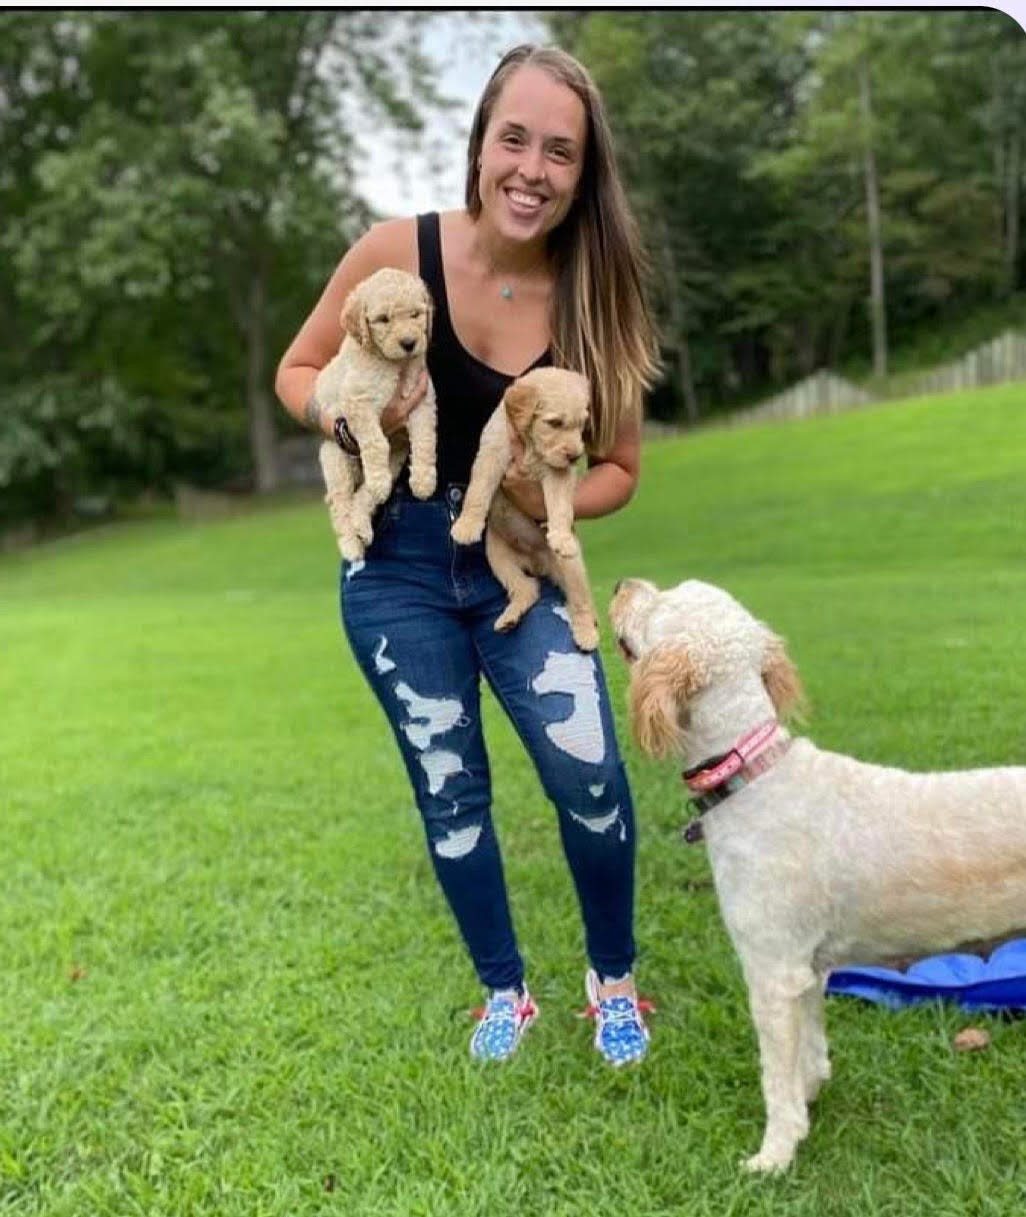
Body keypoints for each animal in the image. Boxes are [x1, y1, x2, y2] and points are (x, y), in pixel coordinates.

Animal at [316, 266, 438, 559]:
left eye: (416, 314)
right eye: (383, 319)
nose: (409, 343)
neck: (392, 363)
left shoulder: (422, 400)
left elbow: (425, 440)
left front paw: (424, 480)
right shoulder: (358, 401)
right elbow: (375, 441)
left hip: (395, 461)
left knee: (364, 497)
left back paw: (363, 524)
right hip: (338, 463)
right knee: (341, 504)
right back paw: (351, 544)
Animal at [450, 367, 601, 652]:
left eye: (581, 425)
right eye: (555, 423)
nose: (575, 456)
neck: (530, 443)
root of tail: (538, 563)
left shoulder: (559, 474)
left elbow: (560, 506)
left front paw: (560, 536)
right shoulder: (491, 454)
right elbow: (477, 491)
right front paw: (466, 525)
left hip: (571, 567)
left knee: (581, 602)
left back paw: (586, 633)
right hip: (497, 556)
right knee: (527, 589)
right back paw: (510, 616)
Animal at [610, 576, 1026, 1168]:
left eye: (663, 601)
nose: (621, 585)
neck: (751, 775)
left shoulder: (770, 970)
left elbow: (774, 1075)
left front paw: (774, 1155)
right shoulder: (807, 969)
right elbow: (808, 1050)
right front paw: (808, 1101)